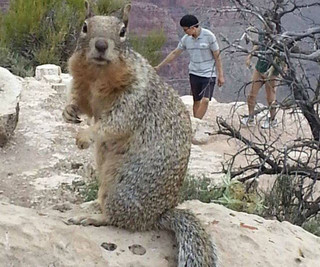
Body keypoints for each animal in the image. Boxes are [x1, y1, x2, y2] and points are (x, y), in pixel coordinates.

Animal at [62, 1, 220, 266]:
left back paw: (93, 218)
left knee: (120, 220)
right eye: (84, 27)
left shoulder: (135, 100)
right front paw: (68, 112)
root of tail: (158, 215)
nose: (101, 45)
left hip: (122, 187)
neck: (97, 77)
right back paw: (90, 205)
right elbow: (79, 103)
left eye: (123, 31)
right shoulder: (82, 89)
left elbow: (113, 124)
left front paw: (84, 136)